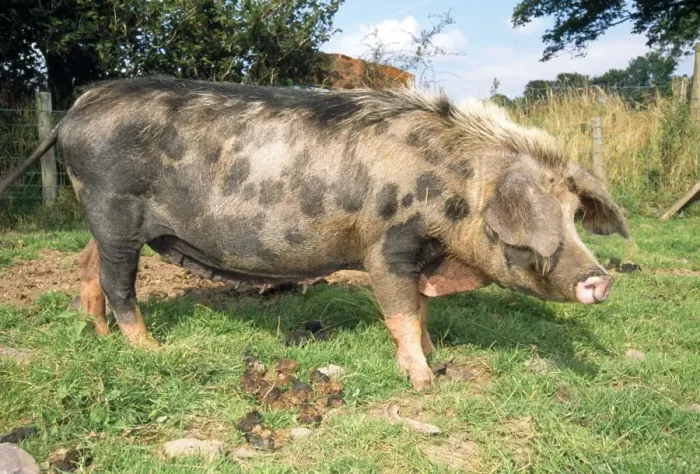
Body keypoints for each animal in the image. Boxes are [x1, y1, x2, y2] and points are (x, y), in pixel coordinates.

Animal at [0, 77, 628, 390]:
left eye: (574, 218)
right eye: (533, 231)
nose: (600, 279)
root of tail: (76, 107)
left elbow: (422, 311)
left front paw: (438, 358)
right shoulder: (386, 244)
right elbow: (400, 310)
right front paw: (425, 382)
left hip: (103, 217)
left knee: (87, 265)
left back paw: (101, 335)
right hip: (113, 206)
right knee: (119, 281)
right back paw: (150, 348)